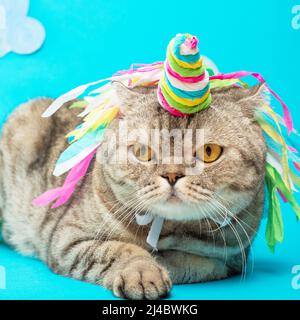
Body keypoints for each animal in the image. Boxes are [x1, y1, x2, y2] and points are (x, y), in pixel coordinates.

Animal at [0, 82, 268, 300]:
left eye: (209, 152)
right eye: (142, 152)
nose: (172, 175)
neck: (168, 229)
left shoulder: (233, 254)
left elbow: (194, 262)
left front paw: (163, 261)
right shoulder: (68, 238)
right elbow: (119, 249)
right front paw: (142, 271)